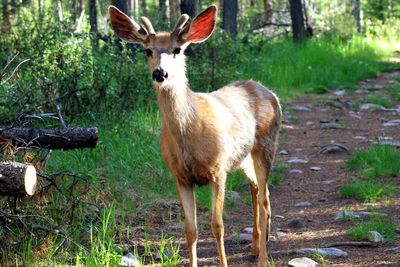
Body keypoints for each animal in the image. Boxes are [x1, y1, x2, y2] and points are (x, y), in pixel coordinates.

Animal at [109, 4, 282, 267]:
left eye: (177, 49)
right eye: (147, 50)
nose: (160, 73)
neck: (187, 133)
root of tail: (269, 91)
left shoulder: (218, 170)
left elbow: (217, 226)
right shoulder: (180, 176)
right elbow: (190, 230)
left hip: (266, 145)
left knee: (264, 196)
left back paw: (263, 256)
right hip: (242, 158)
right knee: (256, 189)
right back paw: (256, 246)